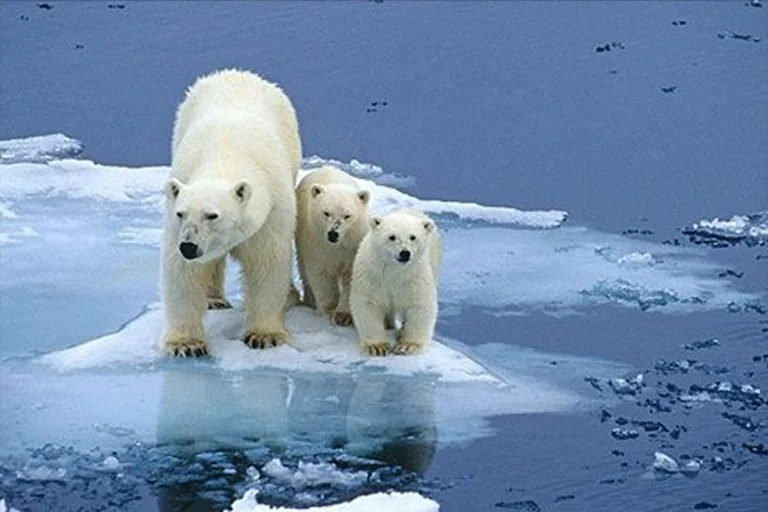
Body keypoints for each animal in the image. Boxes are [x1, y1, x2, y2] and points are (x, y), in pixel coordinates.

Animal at [161, 69, 301, 357]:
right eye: (181, 214)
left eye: (212, 215)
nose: (189, 246)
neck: (225, 157)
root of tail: (236, 73)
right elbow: (183, 273)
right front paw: (186, 343)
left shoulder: (272, 212)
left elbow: (267, 264)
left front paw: (264, 336)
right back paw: (214, 299)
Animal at [295, 165, 371, 326]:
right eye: (326, 213)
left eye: (347, 216)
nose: (333, 234)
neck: (337, 246)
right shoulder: (315, 243)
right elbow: (320, 275)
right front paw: (329, 310)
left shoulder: (352, 247)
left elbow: (351, 275)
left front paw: (343, 315)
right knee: (303, 269)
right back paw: (309, 301)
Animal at [349, 209, 441, 356]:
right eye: (392, 237)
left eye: (413, 237)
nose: (405, 253)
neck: (394, 271)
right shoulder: (372, 275)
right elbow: (368, 304)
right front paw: (377, 347)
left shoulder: (415, 276)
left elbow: (420, 304)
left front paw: (407, 345)